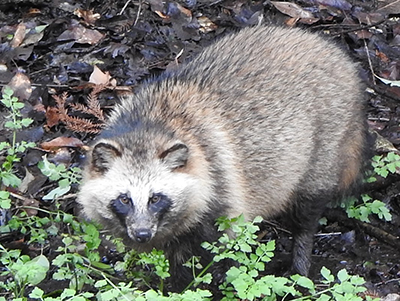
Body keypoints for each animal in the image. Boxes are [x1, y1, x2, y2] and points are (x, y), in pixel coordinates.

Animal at [78, 25, 368, 288]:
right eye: (124, 199)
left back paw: (301, 254)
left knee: (307, 208)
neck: (145, 127)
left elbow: (212, 259)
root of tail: (334, 53)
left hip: (327, 140)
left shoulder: (220, 188)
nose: (141, 234)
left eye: (156, 198)